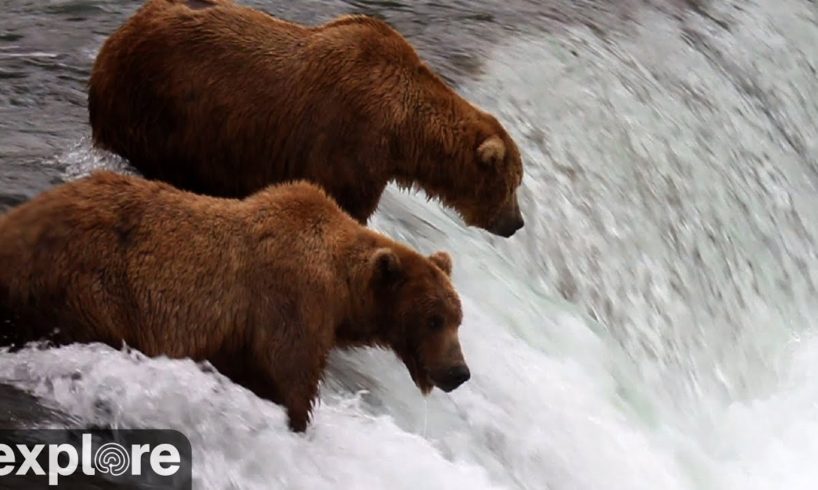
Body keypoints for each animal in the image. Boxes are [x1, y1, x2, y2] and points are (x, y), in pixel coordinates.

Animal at [0, 170, 468, 430]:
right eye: (434, 318)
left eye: (456, 318)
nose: (459, 372)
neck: (342, 291)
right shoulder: (290, 306)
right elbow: (291, 384)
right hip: (89, 288)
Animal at [87, 0, 524, 237]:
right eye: (511, 184)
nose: (516, 223)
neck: (402, 133)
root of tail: (114, 40)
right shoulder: (348, 143)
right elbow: (344, 205)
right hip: (156, 110)